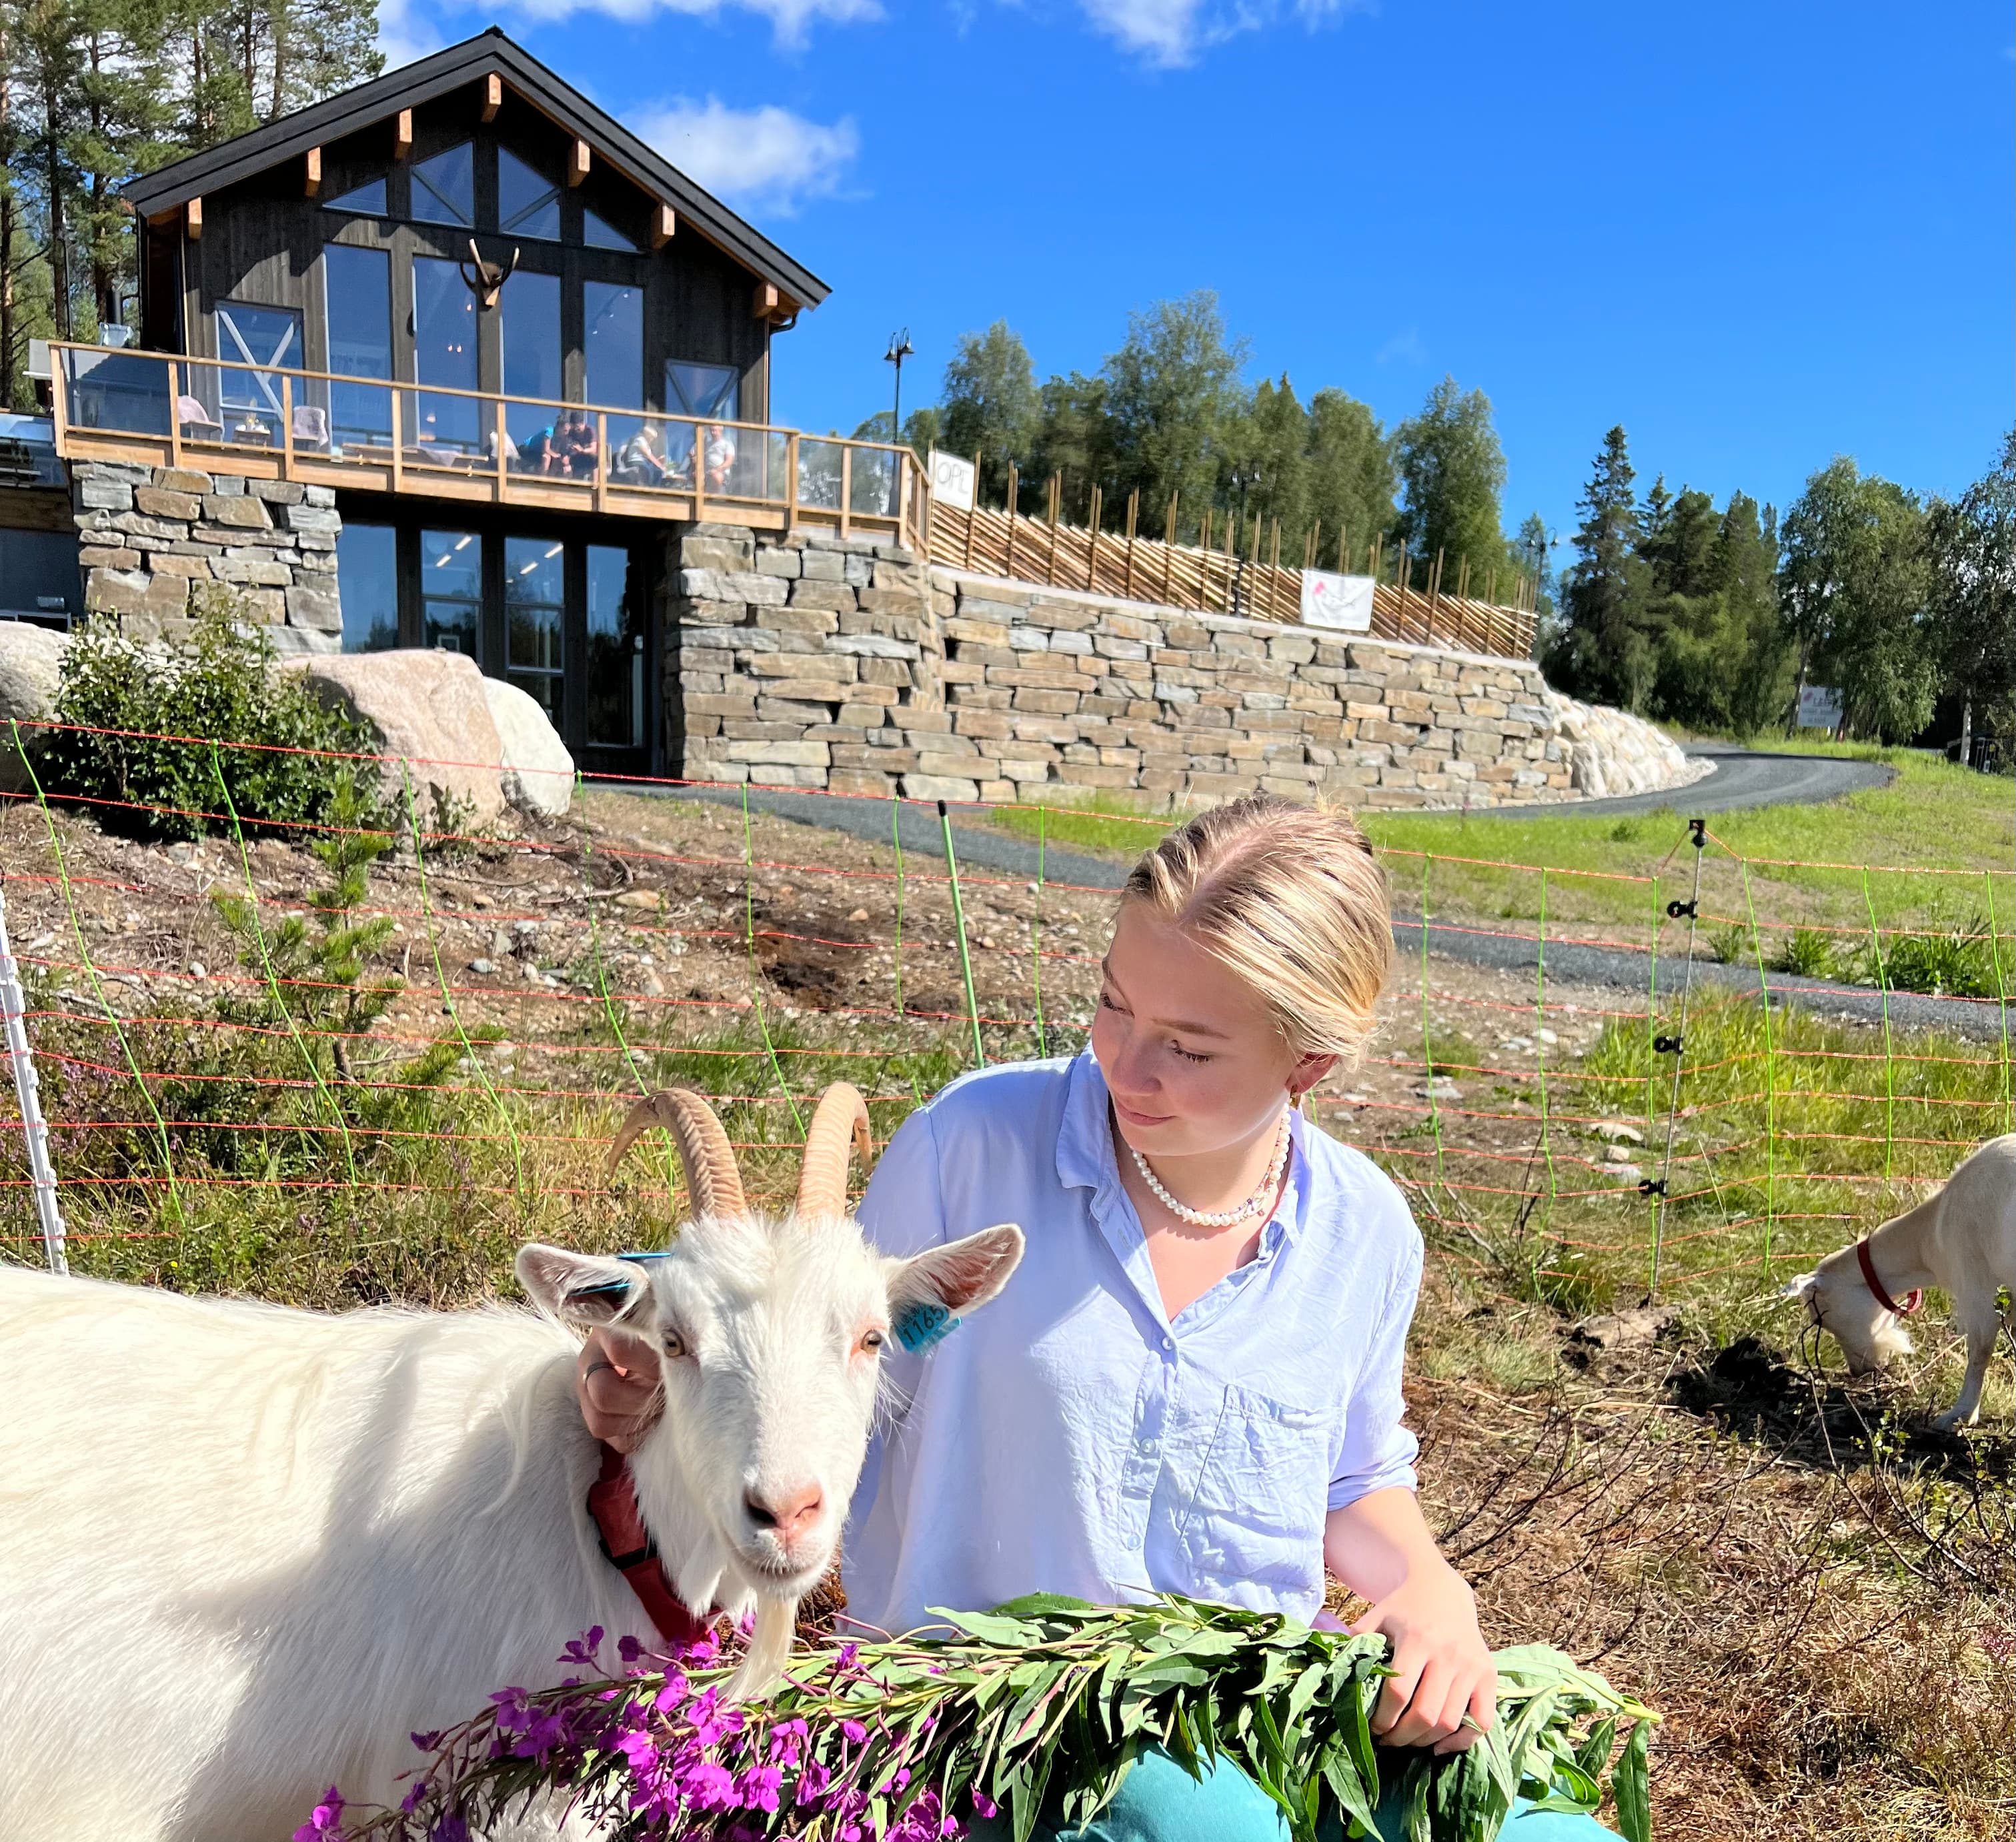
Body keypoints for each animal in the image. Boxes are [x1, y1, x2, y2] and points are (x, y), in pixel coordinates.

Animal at [1784, 1132, 2016, 1429]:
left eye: (1823, 1317)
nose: (1858, 1371)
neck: (1931, 1238)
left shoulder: (1977, 1284)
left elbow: (1979, 1352)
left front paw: (1960, 1415)